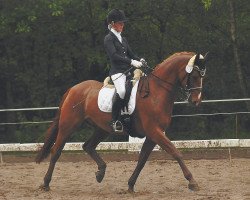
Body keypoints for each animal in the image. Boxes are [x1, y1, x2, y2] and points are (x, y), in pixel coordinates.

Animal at [35, 51, 207, 192]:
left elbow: (142, 159)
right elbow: (175, 152)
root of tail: (73, 89)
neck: (156, 92)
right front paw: (192, 182)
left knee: (88, 146)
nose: (196, 101)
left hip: (102, 129)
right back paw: (46, 183)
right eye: (195, 76)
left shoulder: (153, 135)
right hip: (68, 125)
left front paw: (130, 185)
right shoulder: (154, 131)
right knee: (56, 151)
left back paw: (100, 172)